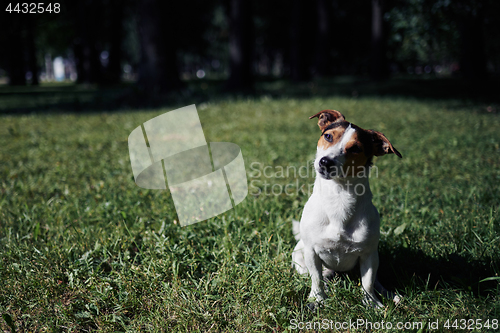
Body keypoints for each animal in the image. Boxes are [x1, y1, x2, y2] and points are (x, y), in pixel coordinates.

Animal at [292, 110, 402, 308]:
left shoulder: (368, 255)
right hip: (299, 256)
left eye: (356, 148)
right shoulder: (311, 251)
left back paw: (390, 294)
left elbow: (368, 282)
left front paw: (372, 303)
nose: (325, 162)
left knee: (375, 281)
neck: (338, 197)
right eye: (328, 136)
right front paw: (317, 299)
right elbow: (316, 279)